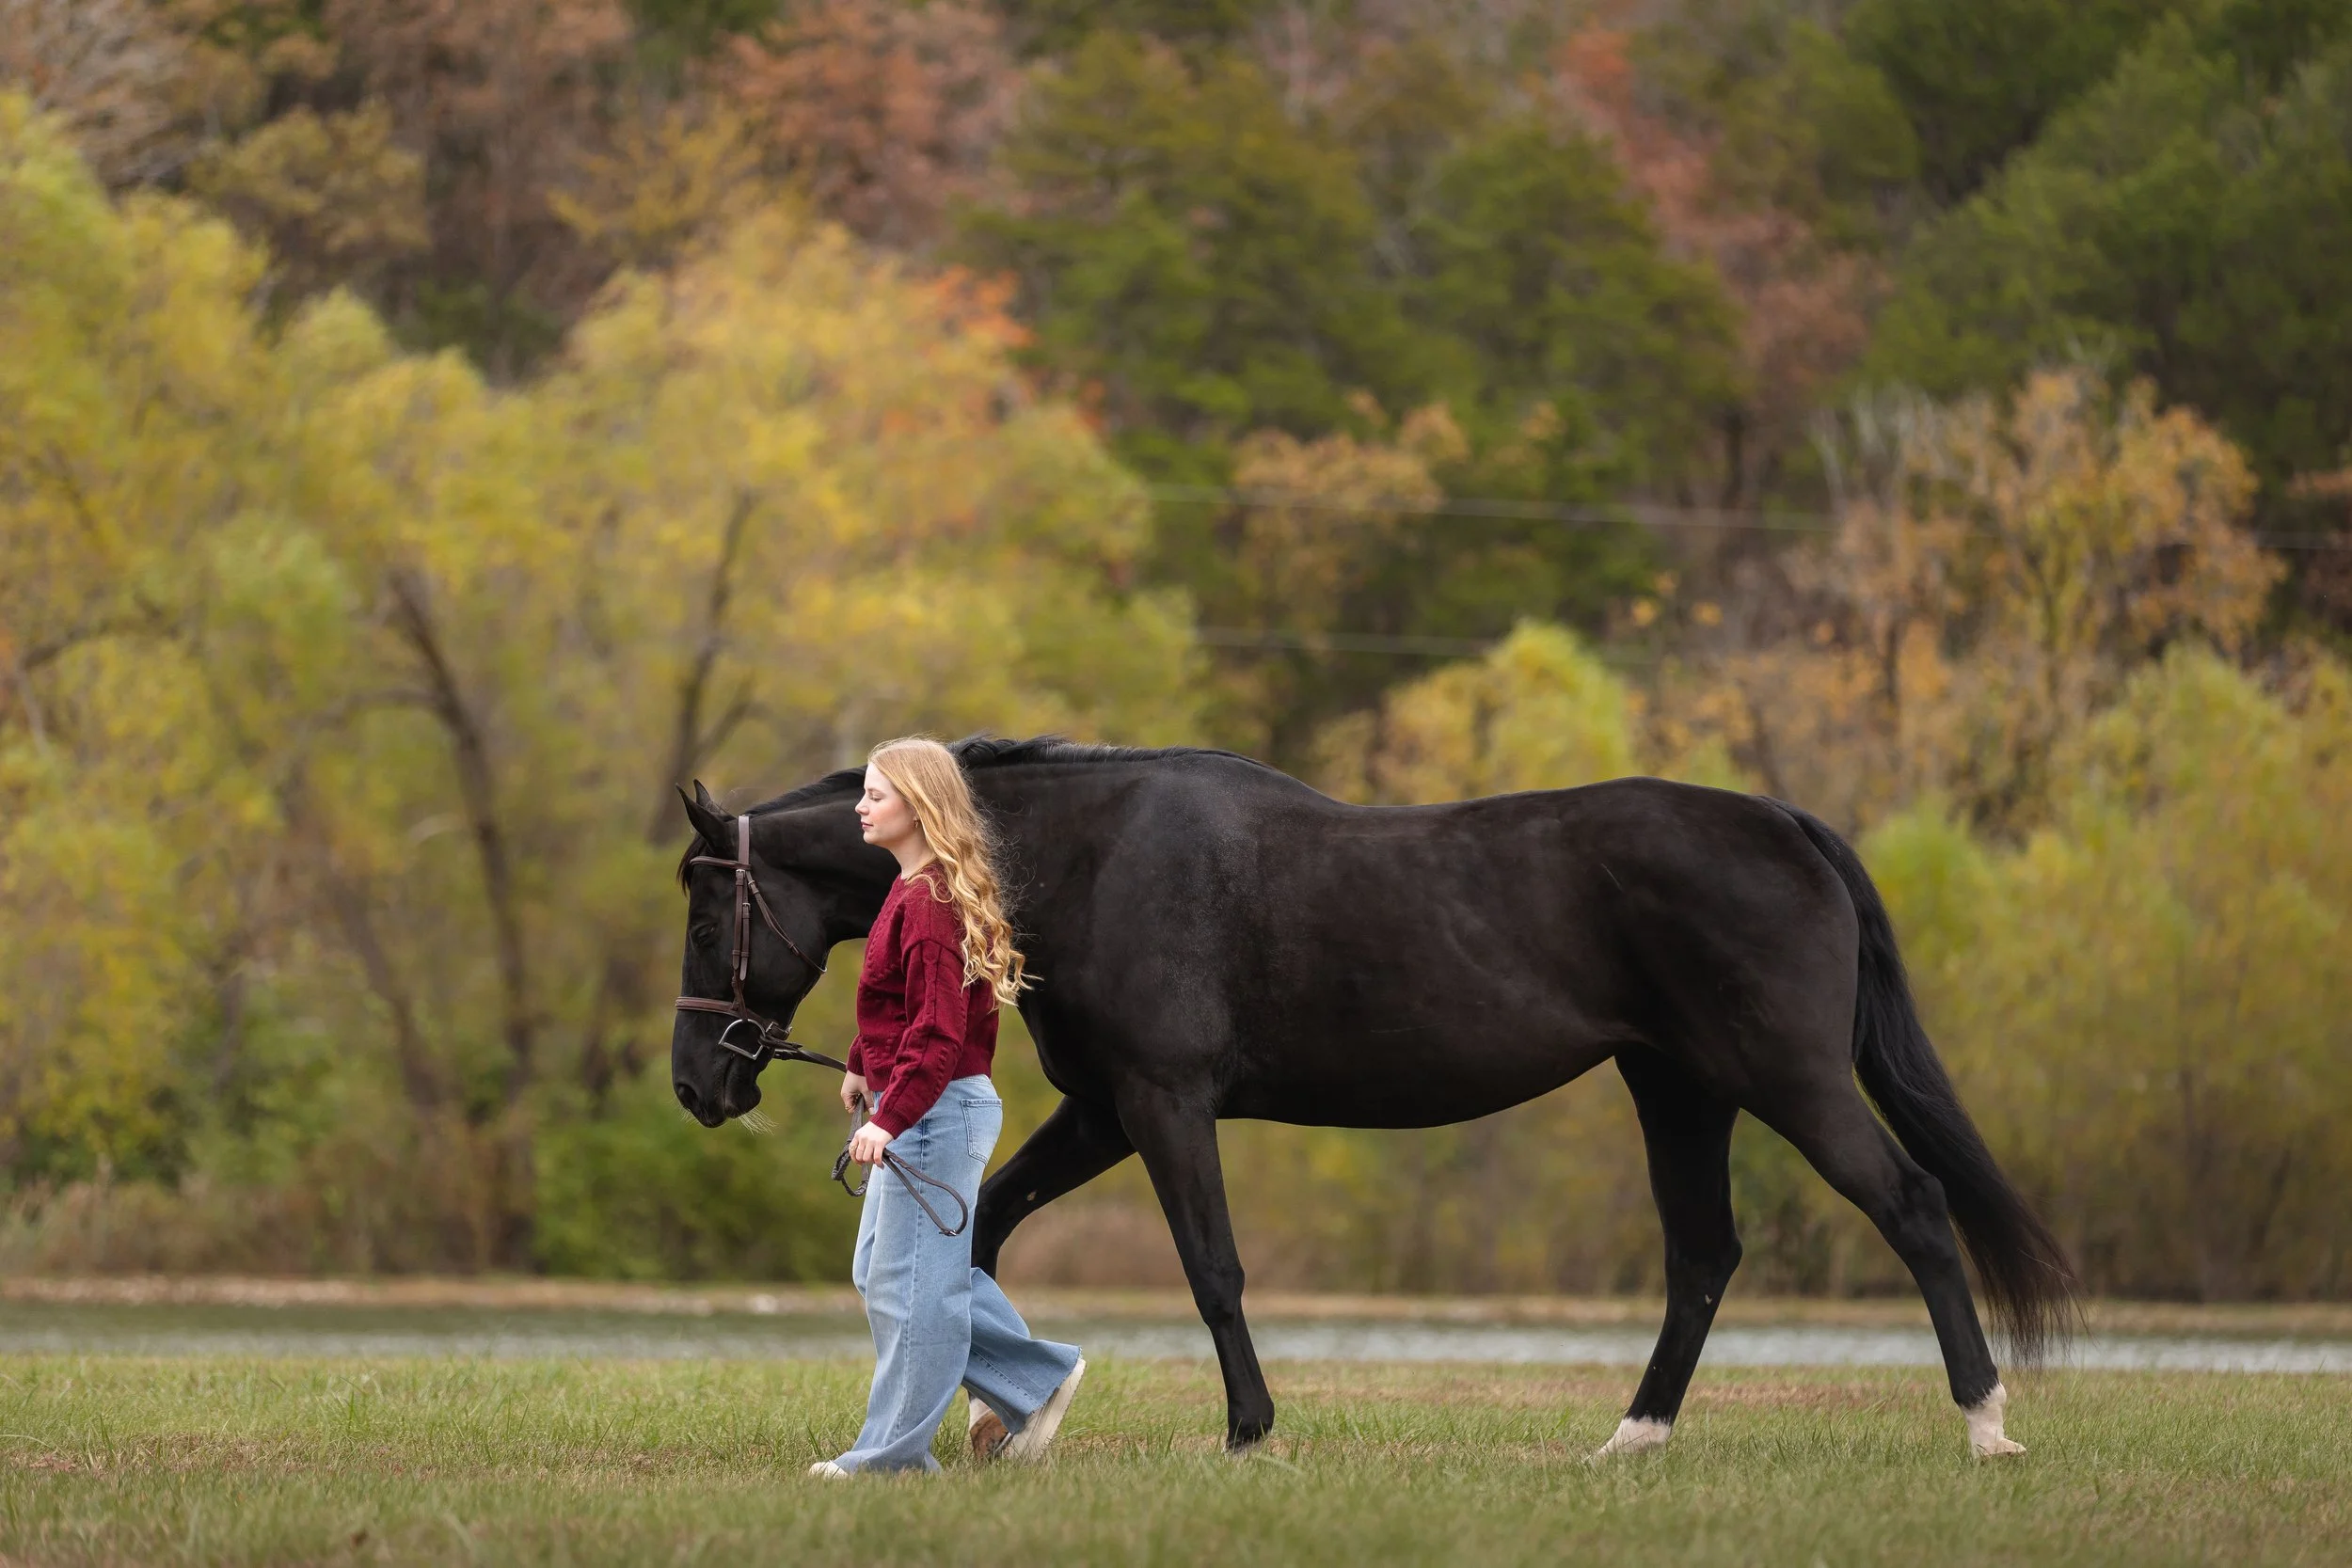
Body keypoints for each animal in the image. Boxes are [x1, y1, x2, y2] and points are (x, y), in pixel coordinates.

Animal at [669, 738, 2076, 1457]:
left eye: (701, 904)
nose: (698, 1080)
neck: (1086, 859)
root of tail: (1788, 823)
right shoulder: (1107, 1109)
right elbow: (993, 1224)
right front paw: (996, 1420)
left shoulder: (1164, 1103)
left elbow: (1213, 1270)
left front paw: (1248, 1431)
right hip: (1680, 1089)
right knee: (1703, 1255)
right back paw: (1632, 1438)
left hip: (1784, 1077)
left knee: (1912, 1206)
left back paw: (1986, 1422)